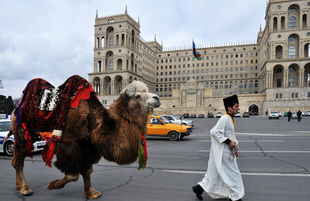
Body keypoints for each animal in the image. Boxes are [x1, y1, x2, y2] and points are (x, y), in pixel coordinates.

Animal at [6, 77, 161, 199]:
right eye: (137, 96)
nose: (157, 98)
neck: (95, 122)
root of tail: (14, 110)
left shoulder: (88, 146)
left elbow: (87, 171)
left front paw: (92, 194)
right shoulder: (71, 144)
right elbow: (73, 175)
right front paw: (52, 185)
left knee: (16, 160)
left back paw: (18, 186)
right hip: (22, 133)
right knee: (18, 161)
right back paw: (25, 189)